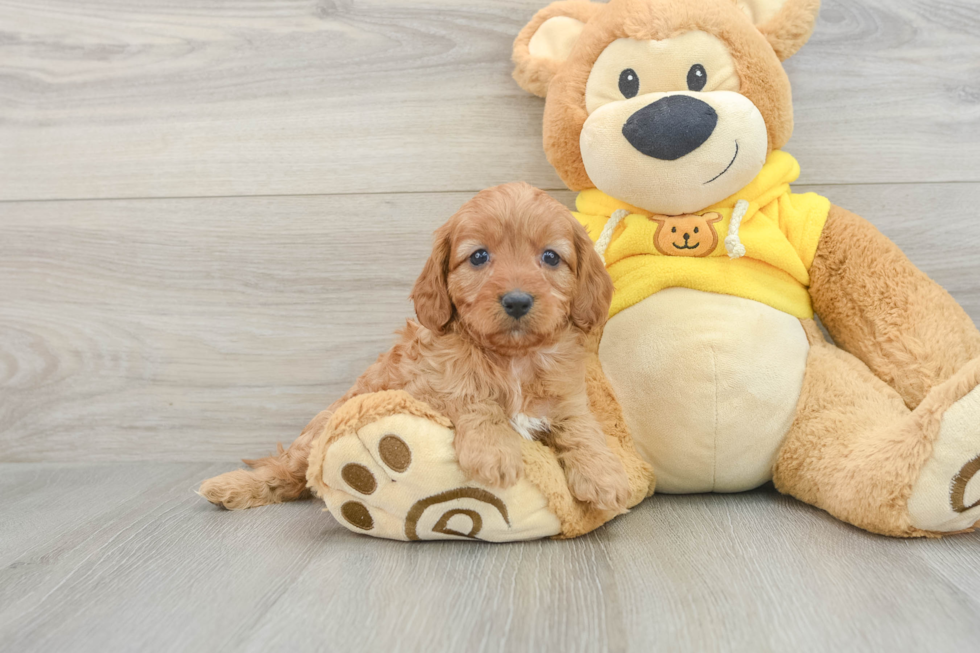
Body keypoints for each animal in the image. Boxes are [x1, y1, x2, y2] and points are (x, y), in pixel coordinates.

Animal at [202, 181, 632, 512]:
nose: (517, 301)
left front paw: (605, 476)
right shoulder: (430, 386)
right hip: (318, 431)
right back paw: (231, 487)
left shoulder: (567, 398)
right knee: (286, 471)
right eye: (479, 256)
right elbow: (475, 399)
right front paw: (493, 452)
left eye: (550, 257)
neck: (513, 359)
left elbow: (583, 428)